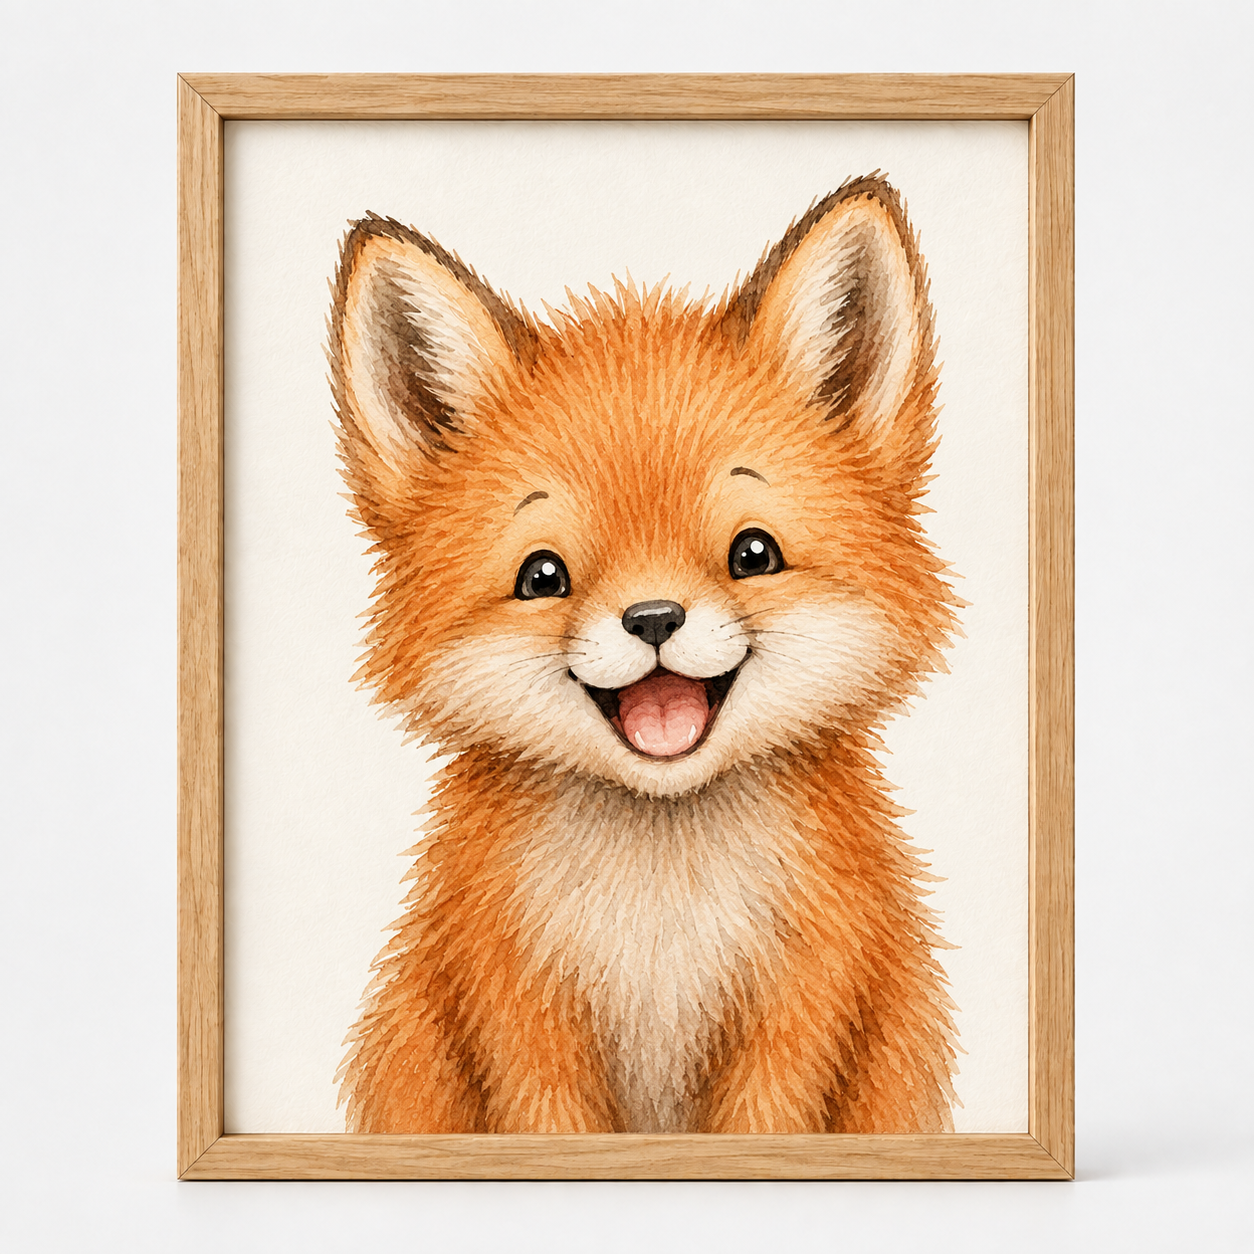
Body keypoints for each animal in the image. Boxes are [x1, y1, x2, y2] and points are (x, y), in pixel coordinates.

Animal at [328, 173, 960, 1135]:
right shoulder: (519, 1020)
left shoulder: (802, 1013)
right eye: (543, 575)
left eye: (753, 554)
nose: (654, 617)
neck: (662, 908)